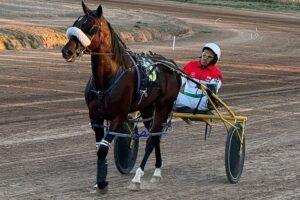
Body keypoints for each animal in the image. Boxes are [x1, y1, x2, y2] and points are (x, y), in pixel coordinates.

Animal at [61, 0, 180, 193]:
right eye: (76, 24)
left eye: (92, 27)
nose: (67, 51)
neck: (107, 79)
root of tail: (172, 65)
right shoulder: (95, 117)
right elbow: (99, 148)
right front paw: (99, 181)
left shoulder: (119, 116)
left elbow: (103, 149)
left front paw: (102, 183)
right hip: (147, 108)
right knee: (155, 137)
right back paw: (157, 171)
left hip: (164, 105)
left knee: (153, 138)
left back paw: (138, 177)